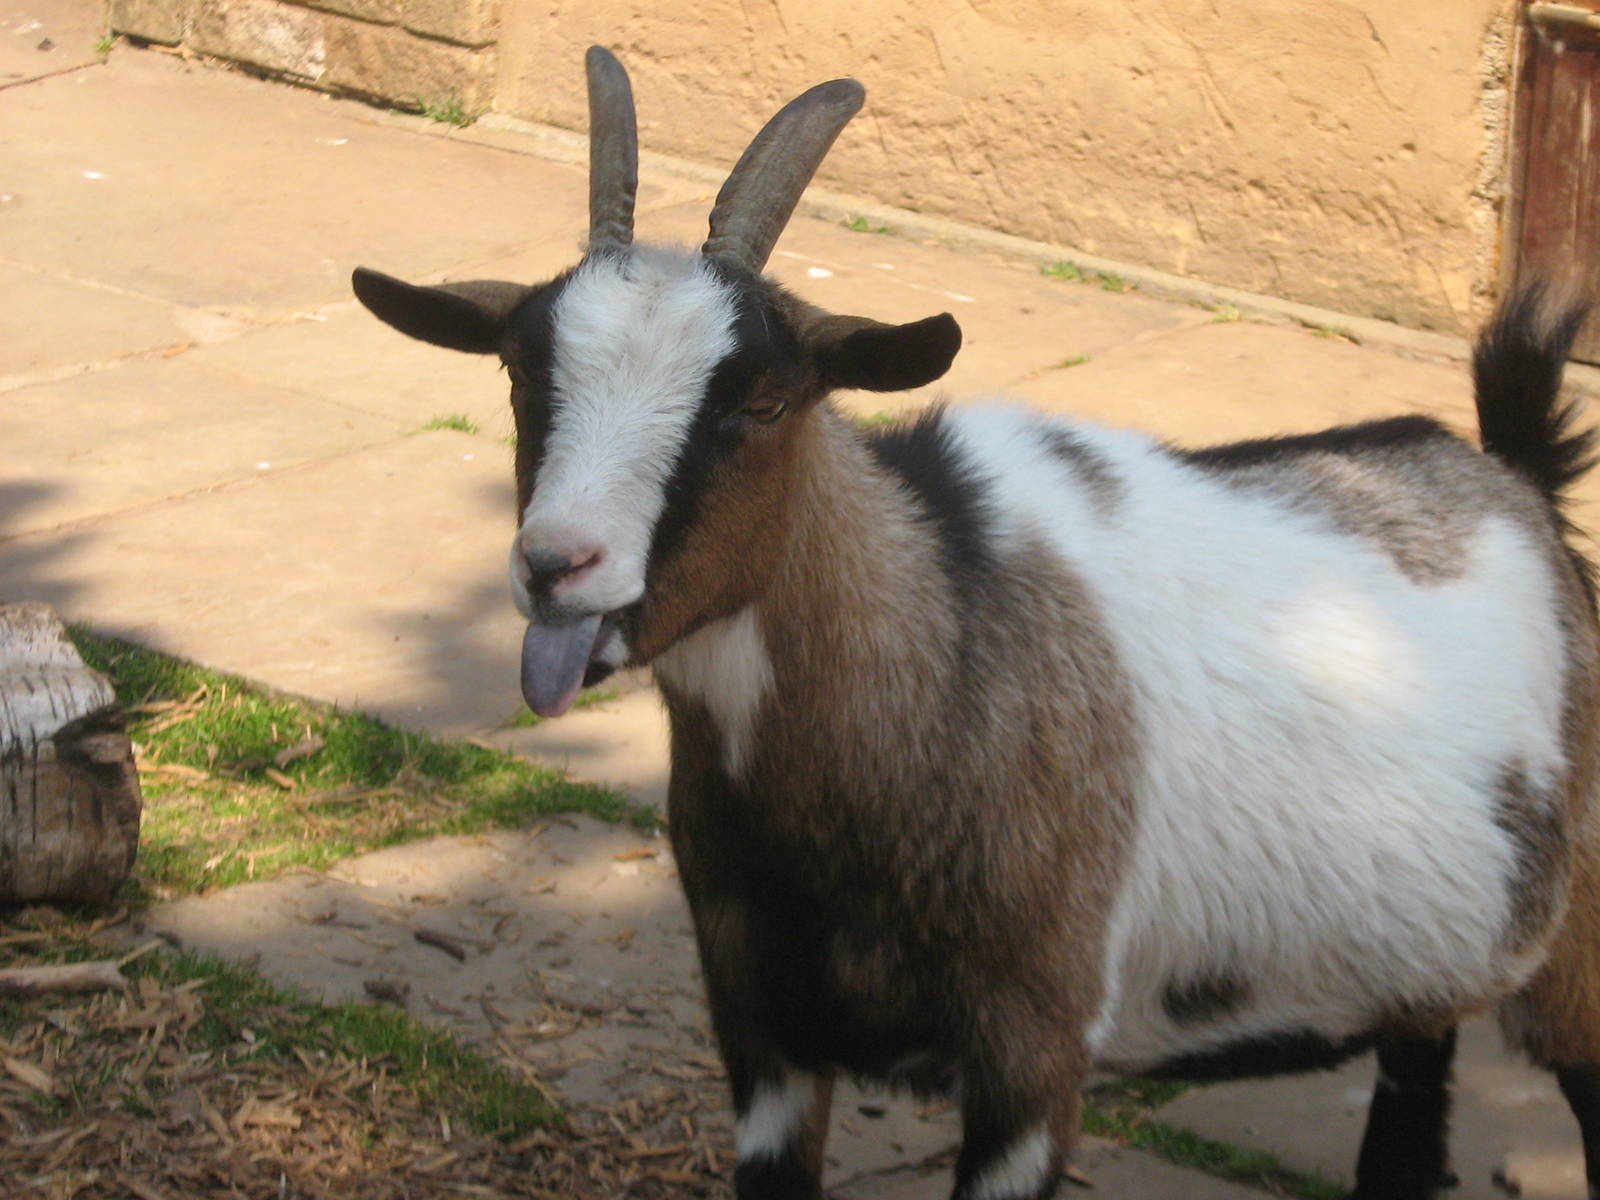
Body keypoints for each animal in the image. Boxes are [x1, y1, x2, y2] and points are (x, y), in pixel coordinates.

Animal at [352, 47, 1600, 1200]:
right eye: (522, 377)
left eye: (762, 400)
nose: (556, 567)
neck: (934, 634)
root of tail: (1517, 483)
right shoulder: (761, 1035)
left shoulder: (1031, 1052)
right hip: (1425, 966)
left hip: (1575, 955)